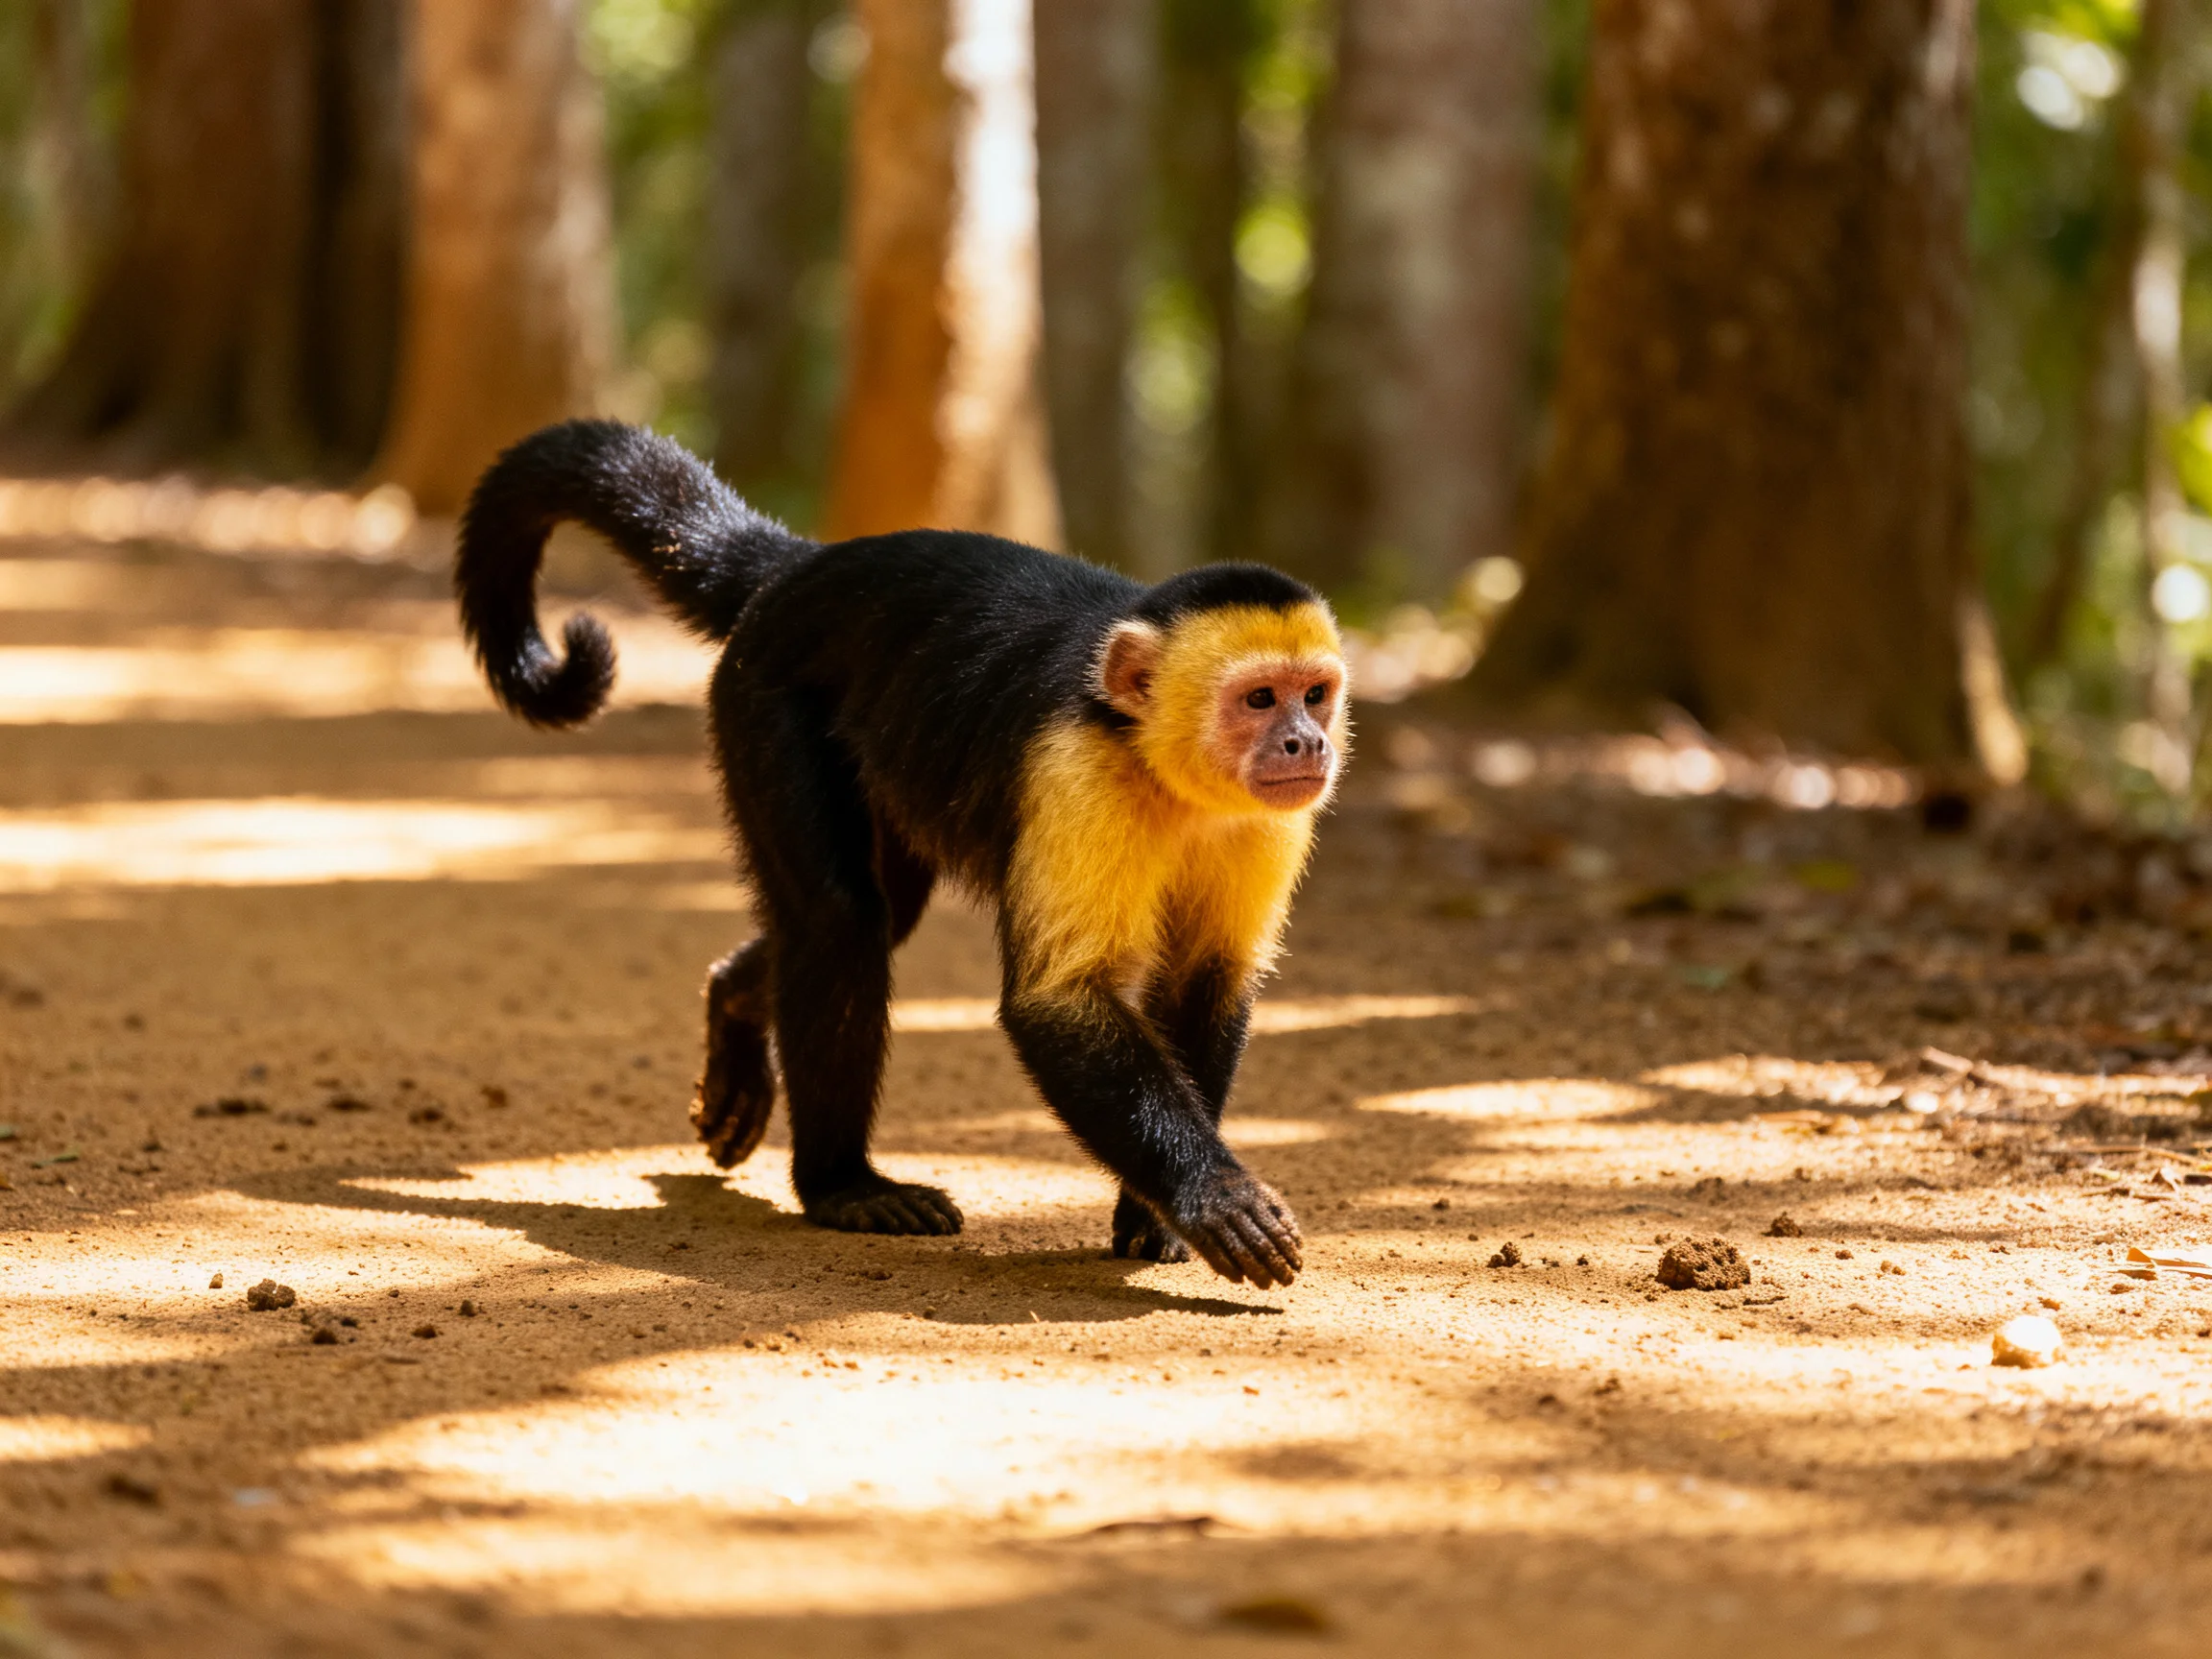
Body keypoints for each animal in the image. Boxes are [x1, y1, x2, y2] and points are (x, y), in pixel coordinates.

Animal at [455, 420, 1348, 1288]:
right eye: (1259, 699)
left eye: (1314, 695)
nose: (1307, 742)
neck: (1159, 762)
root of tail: (808, 565)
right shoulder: (1076, 765)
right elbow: (1056, 1002)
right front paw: (1209, 1193)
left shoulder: (1270, 821)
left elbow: (1207, 983)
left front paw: (1154, 1213)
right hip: (763, 693)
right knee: (840, 919)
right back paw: (841, 1185)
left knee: (879, 914)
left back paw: (737, 1004)